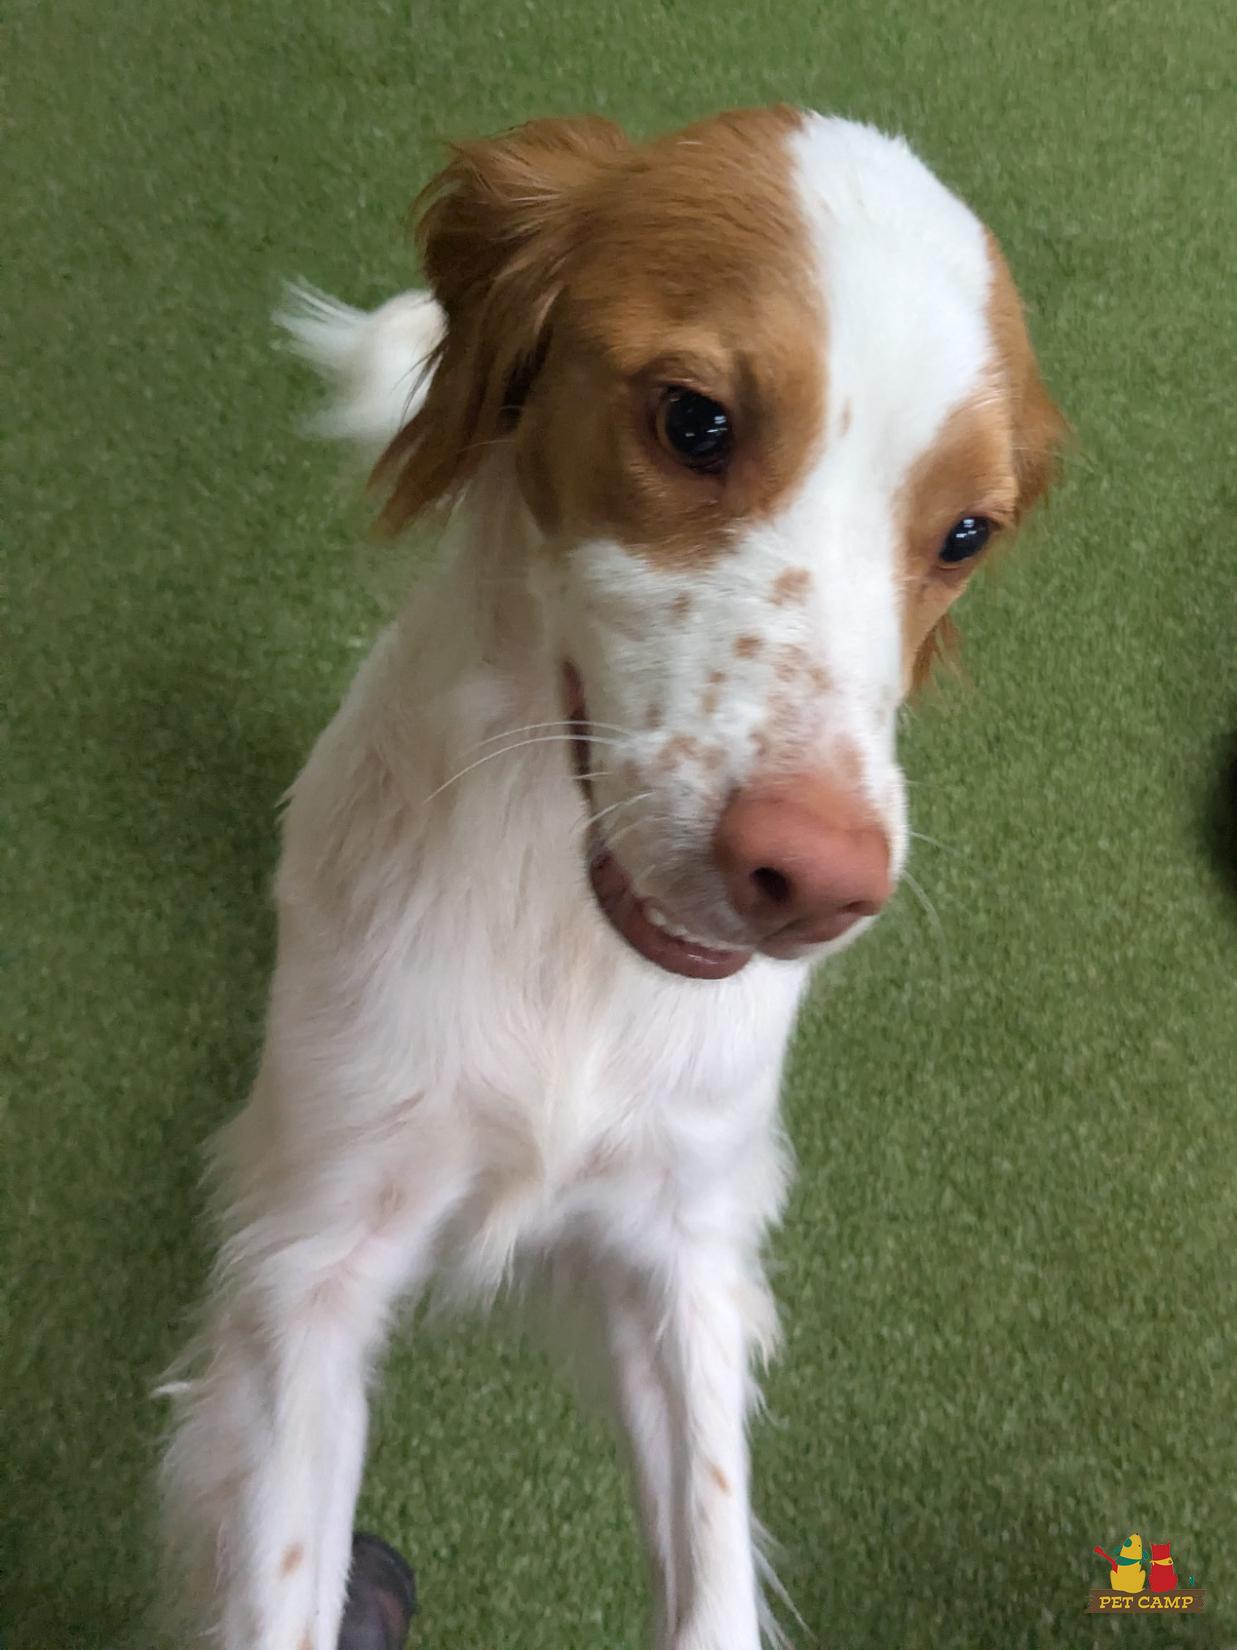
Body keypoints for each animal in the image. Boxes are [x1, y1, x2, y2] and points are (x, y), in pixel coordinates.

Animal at [159, 106, 1063, 1649]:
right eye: (694, 421)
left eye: (965, 534)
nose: (814, 882)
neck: (568, 934)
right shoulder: (308, 1272)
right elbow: (280, 1586)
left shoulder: (684, 1240)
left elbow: (712, 1579)